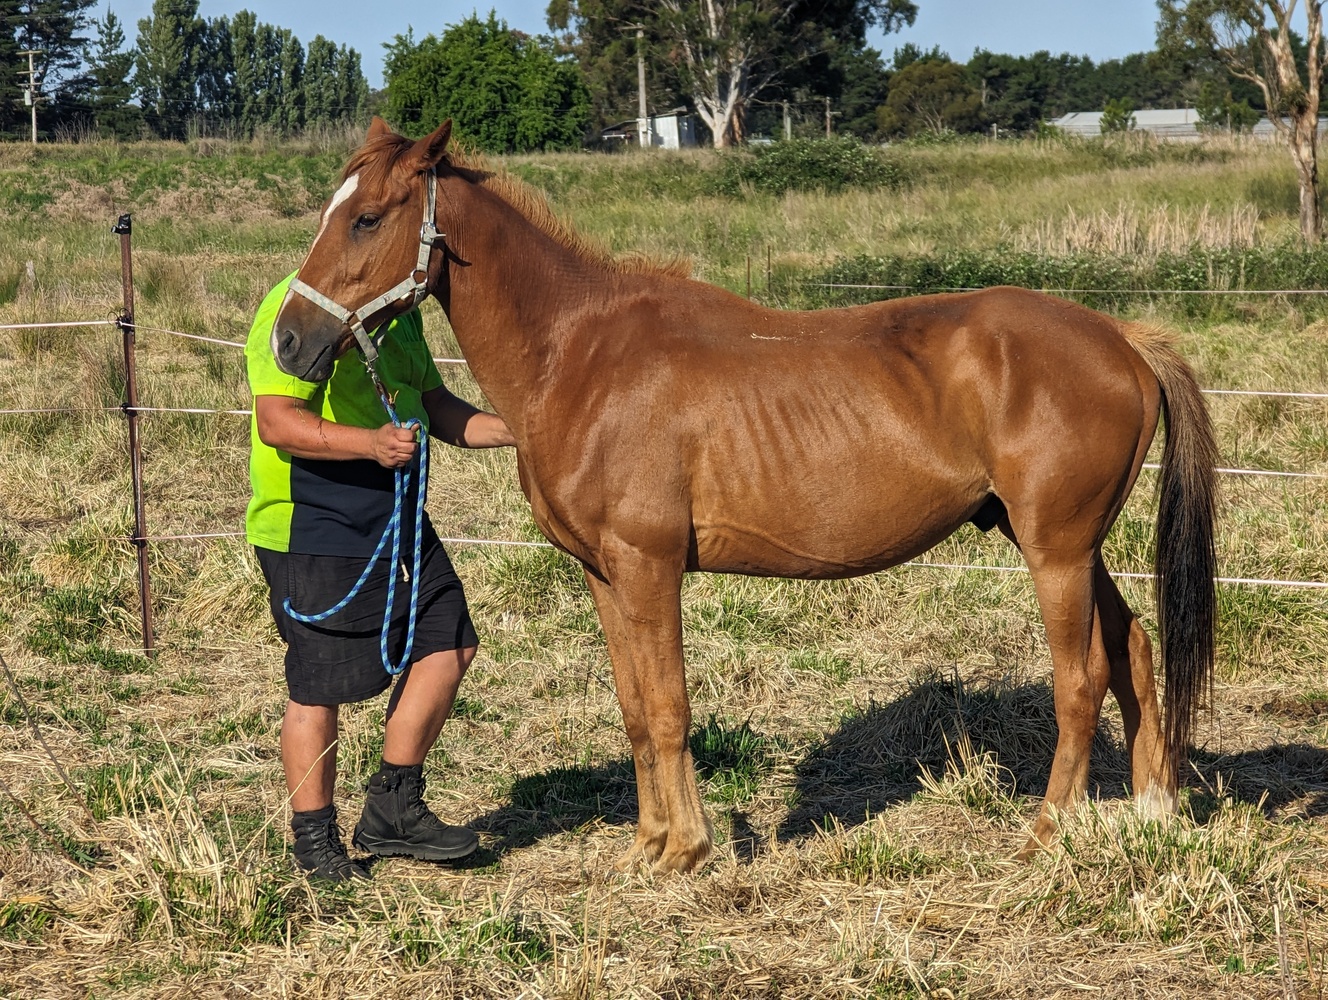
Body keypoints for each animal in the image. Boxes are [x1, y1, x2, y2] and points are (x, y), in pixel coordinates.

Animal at [270, 118, 1218, 873]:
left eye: (366, 217)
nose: (288, 340)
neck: (581, 358)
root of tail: (1121, 339)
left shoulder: (650, 569)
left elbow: (670, 706)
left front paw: (684, 850)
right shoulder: (605, 577)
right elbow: (636, 711)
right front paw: (648, 843)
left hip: (1056, 550)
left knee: (1081, 677)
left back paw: (1047, 830)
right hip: (1065, 546)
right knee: (1132, 650)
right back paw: (1152, 811)